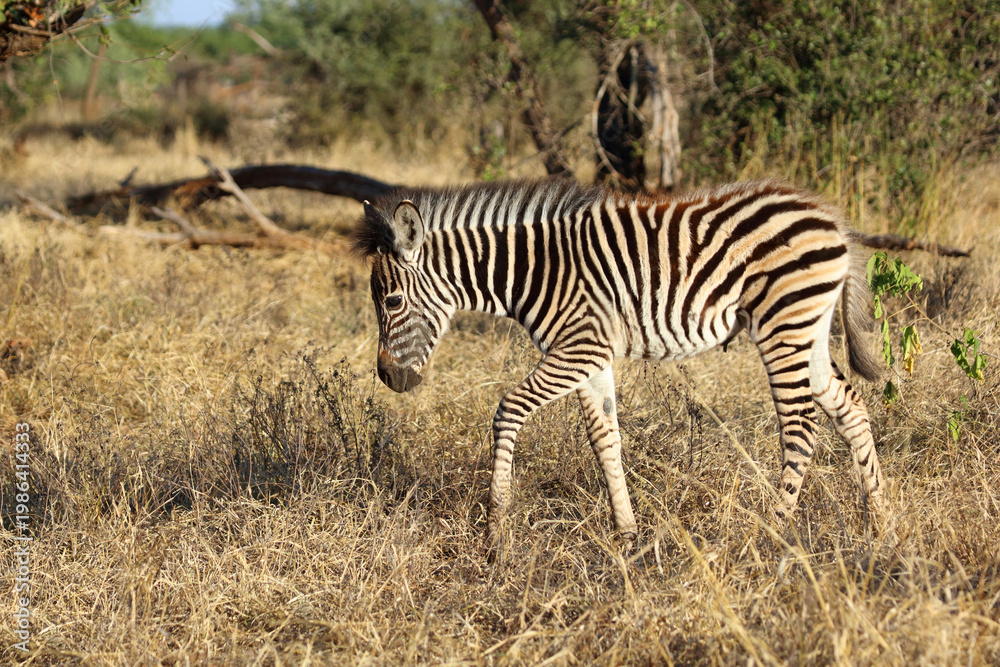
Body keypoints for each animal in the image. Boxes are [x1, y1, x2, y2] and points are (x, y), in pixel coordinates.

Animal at [353, 177, 885, 547]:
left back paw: (772, 531)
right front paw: (626, 534)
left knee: (800, 426)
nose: (388, 376)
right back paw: (879, 523)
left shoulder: (578, 348)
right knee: (850, 408)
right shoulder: (591, 357)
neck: (535, 271)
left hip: (783, 326)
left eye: (393, 301)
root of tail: (831, 219)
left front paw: (495, 529)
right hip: (808, 329)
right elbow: (605, 438)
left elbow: (508, 410)